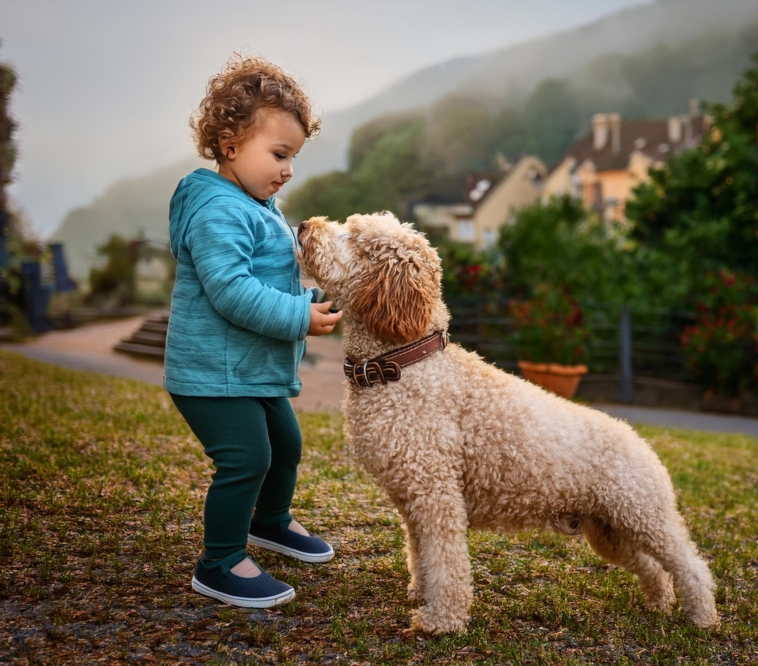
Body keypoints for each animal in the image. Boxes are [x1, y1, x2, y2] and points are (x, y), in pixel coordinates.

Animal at [296, 210, 720, 632]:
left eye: (355, 239)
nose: (303, 225)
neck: (407, 364)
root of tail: (639, 439)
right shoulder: (411, 500)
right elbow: (421, 554)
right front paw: (421, 593)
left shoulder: (437, 494)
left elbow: (446, 562)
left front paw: (442, 619)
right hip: (610, 529)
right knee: (652, 567)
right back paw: (659, 603)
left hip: (645, 515)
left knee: (691, 565)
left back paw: (703, 618)